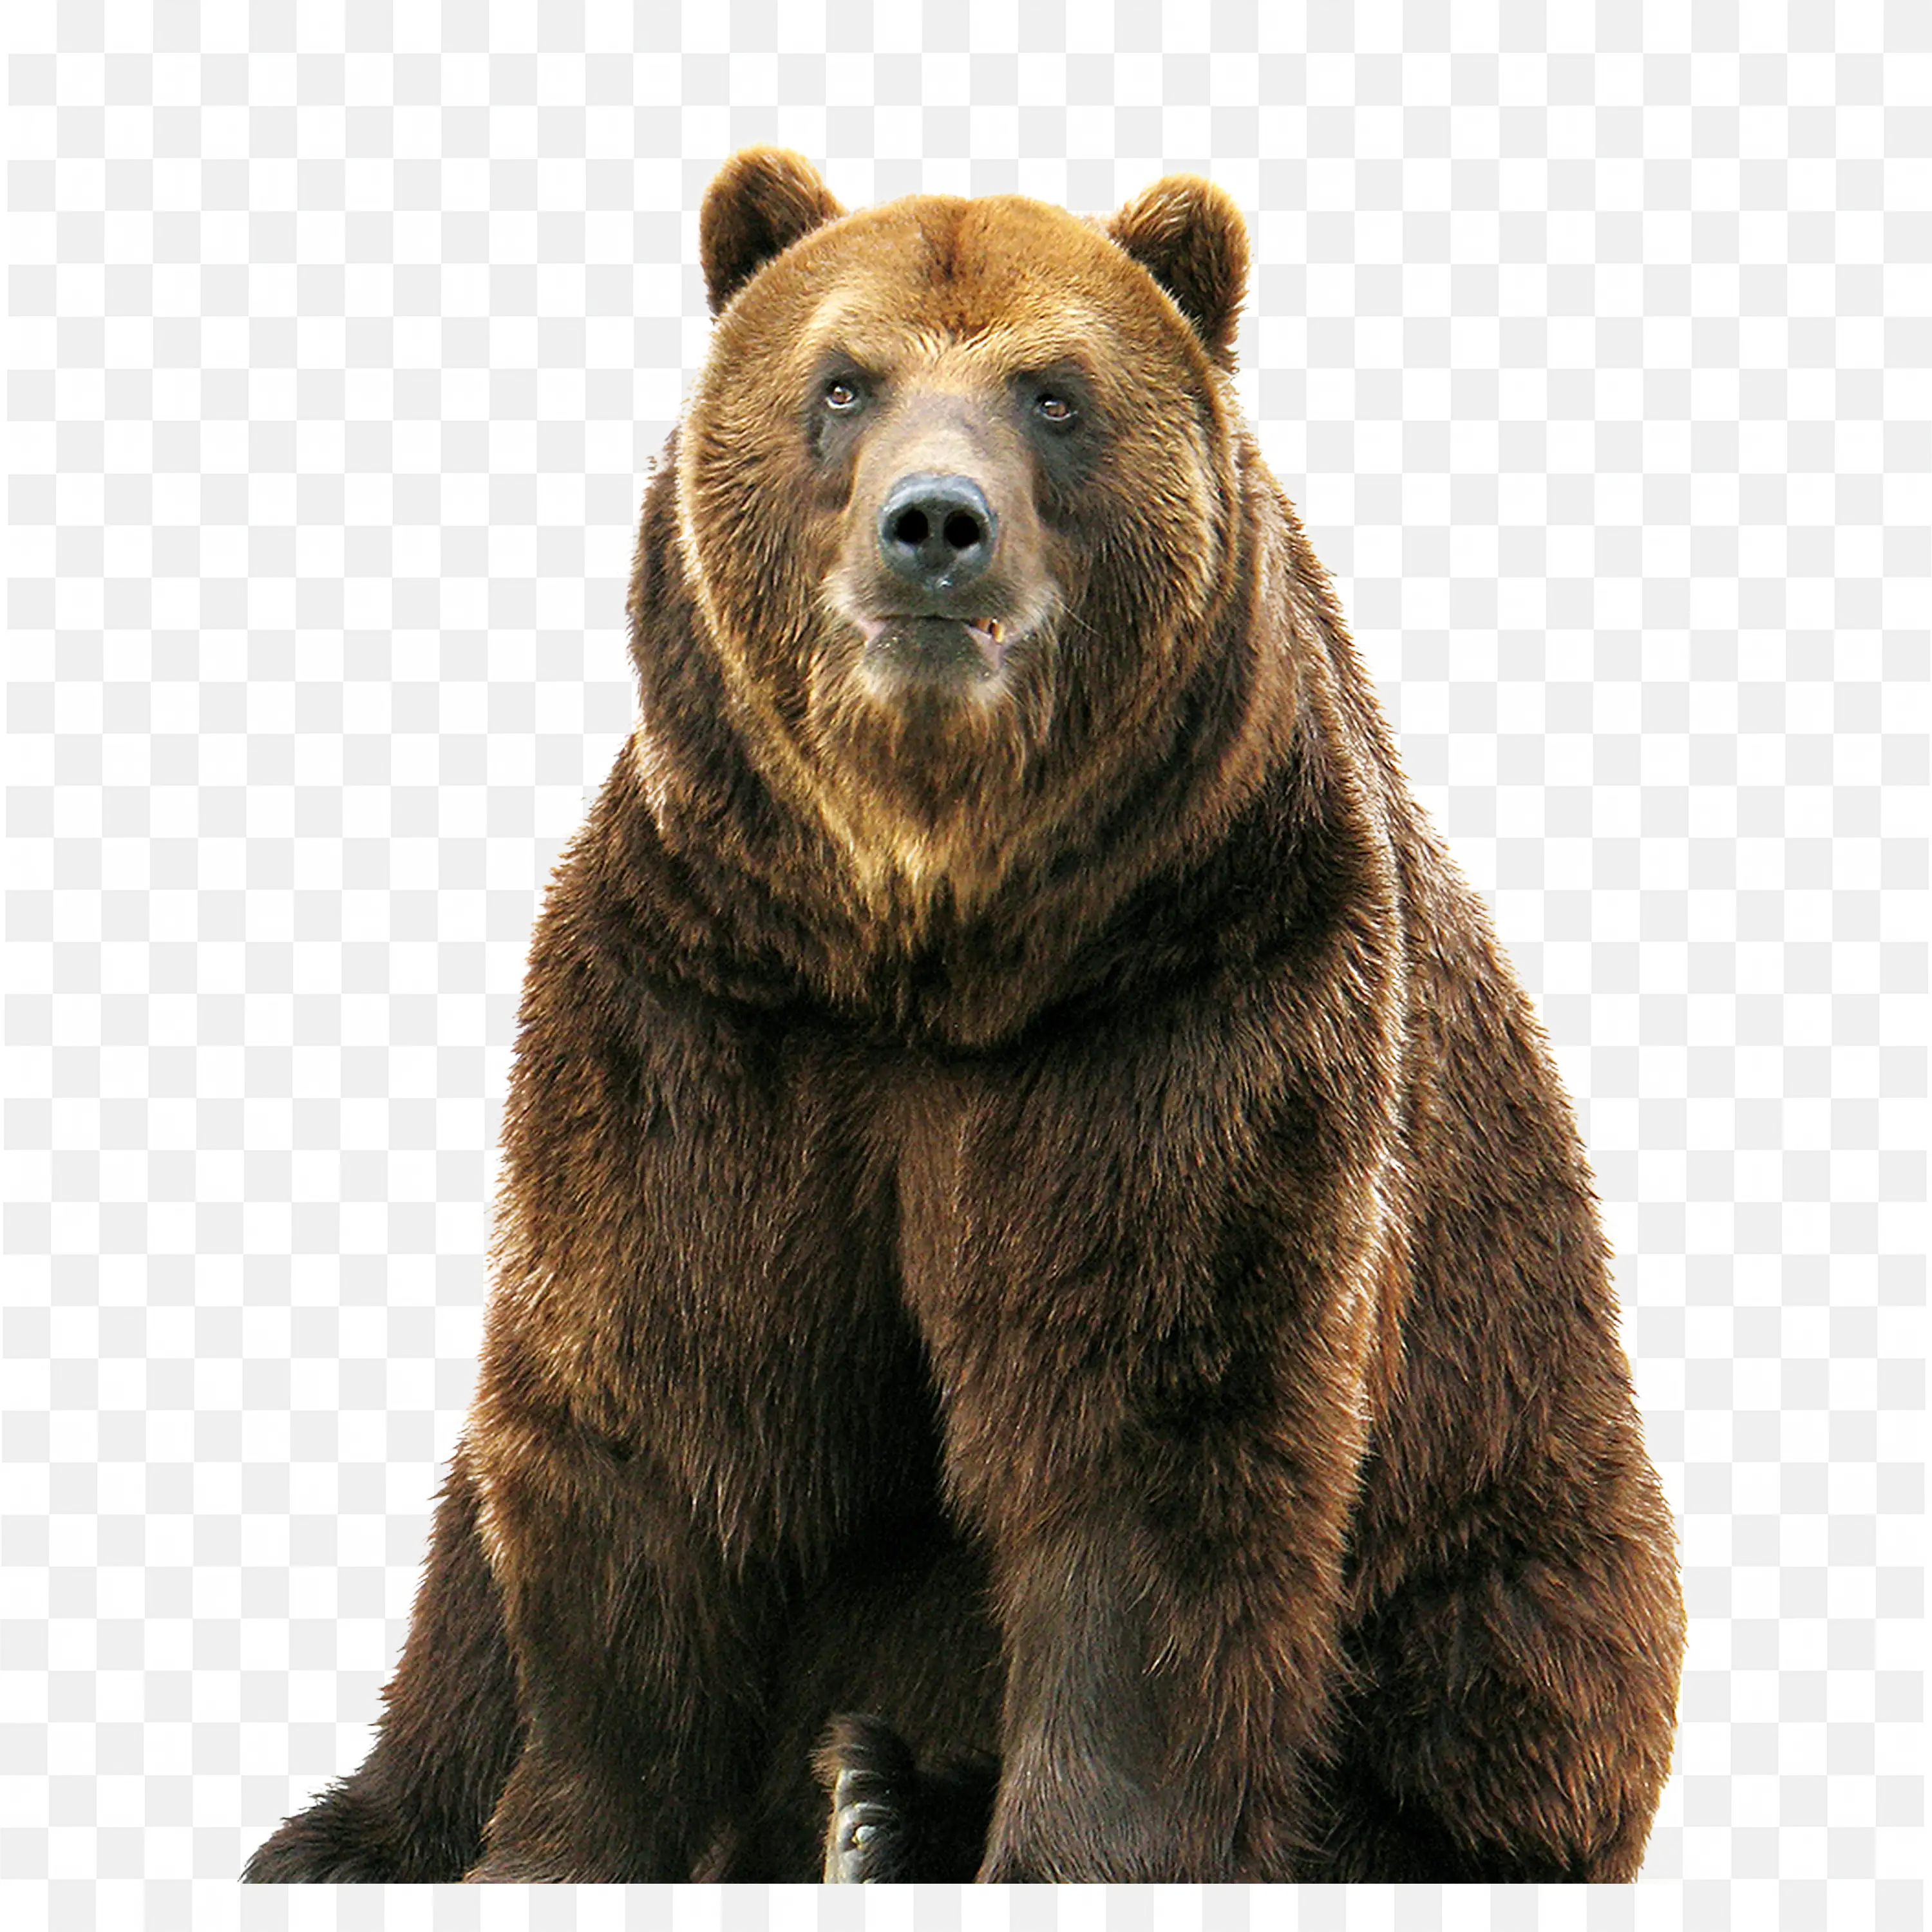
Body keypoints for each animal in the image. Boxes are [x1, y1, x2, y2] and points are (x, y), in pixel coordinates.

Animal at [243, 147, 1686, 1885]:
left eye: (1054, 394)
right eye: (843, 381)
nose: (936, 525)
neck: (931, 932)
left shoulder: (1192, 995)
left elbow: (1153, 1428)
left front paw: (1068, 1853)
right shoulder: (707, 995)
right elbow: (653, 1390)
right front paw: (555, 1844)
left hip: (1517, 1480)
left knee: (1508, 1661)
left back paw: (927, 1799)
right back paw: (369, 1828)